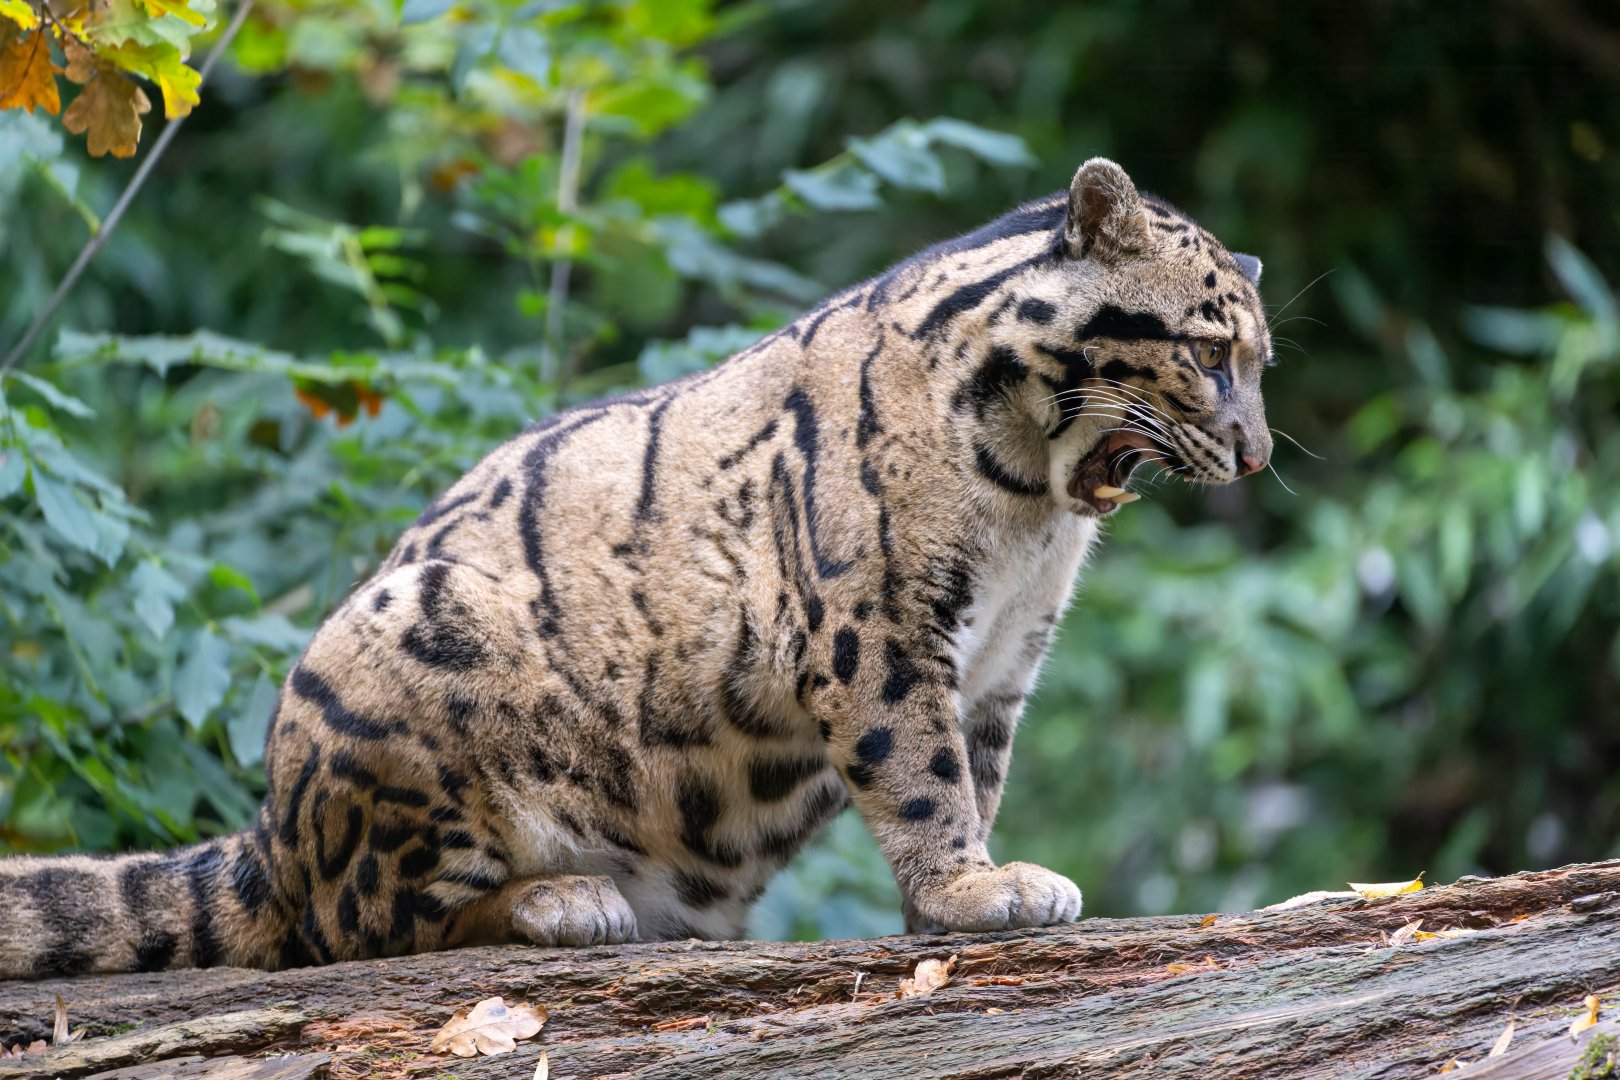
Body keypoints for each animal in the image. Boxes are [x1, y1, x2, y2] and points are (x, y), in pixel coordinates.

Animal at [0, 157, 1272, 978]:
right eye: (1211, 349)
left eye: (1260, 357)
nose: (1258, 451)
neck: (1030, 512)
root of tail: (270, 829)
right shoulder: (884, 628)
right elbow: (919, 770)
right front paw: (975, 889)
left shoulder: (1005, 659)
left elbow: (980, 770)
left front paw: (960, 896)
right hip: (406, 676)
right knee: (359, 923)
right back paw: (564, 900)